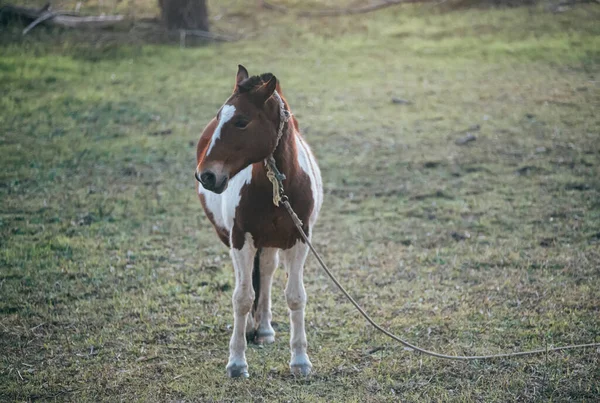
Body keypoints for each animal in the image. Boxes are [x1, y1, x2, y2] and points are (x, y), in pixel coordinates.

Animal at [195, 64, 322, 378]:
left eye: (241, 122)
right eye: (219, 117)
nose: (206, 176)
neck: (276, 188)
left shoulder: (300, 240)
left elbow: (295, 296)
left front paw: (300, 361)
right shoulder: (241, 240)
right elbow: (242, 298)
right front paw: (236, 363)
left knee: (265, 271)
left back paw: (263, 329)